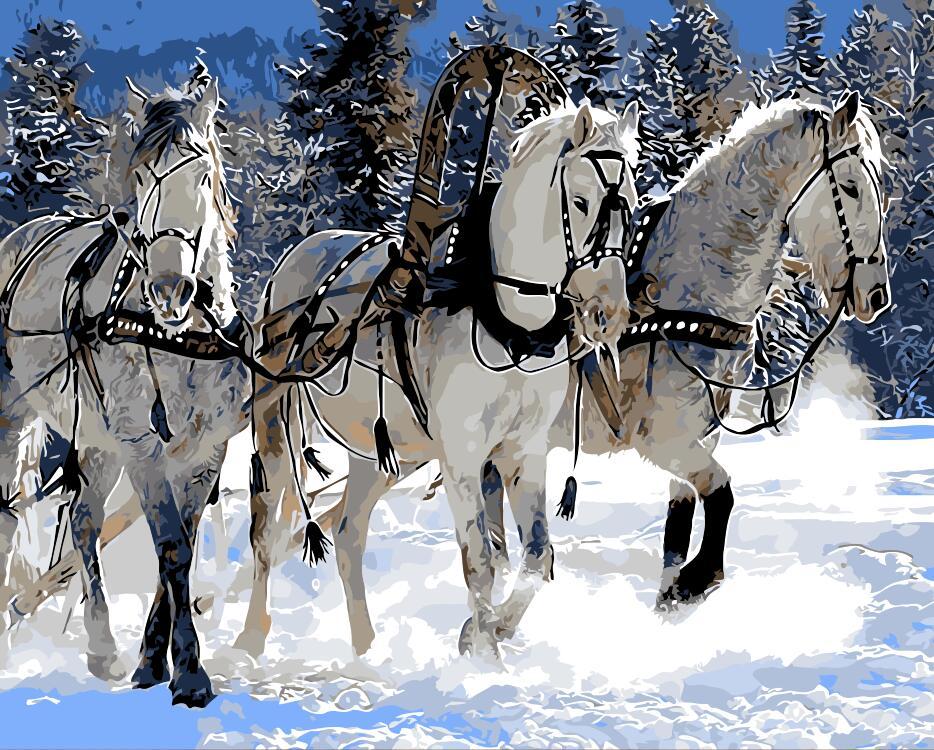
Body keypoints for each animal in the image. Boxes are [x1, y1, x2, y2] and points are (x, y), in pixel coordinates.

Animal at [0, 69, 257, 707]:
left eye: (203, 173)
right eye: (141, 175)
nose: (169, 287)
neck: (178, 336)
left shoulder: (203, 449)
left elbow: (181, 544)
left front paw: (151, 659)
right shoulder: (143, 444)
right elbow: (170, 546)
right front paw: (188, 672)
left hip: (97, 437)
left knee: (84, 522)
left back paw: (100, 646)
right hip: (15, 414)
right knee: (10, 514)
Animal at [236, 98, 642, 660]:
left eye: (633, 203)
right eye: (580, 201)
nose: (609, 312)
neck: (506, 320)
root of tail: (297, 254)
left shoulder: (524, 450)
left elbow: (538, 555)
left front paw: (492, 629)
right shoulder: (463, 454)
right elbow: (481, 561)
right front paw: (484, 654)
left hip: (383, 452)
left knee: (348, 534)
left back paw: (367, 648)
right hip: (277, 421)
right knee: (266, 529)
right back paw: (251, 637)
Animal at [482, 92, 892, 606]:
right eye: (852, 187)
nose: (876, 294)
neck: (688, 297)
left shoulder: (698, 438)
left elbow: (678, 525)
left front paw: (672, 593)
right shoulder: (664, 440)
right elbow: (721, 492)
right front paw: (700, 578)